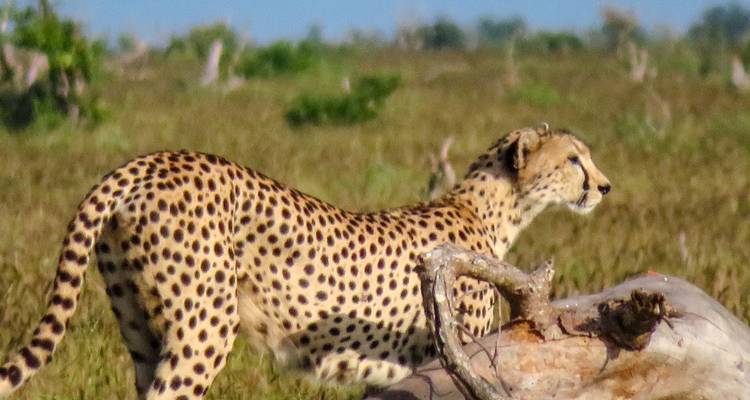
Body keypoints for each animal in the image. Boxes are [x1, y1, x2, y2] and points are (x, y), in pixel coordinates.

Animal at [0, 125, 610, 399]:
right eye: (573, 160)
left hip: (142, 331)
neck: (485, 208)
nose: (604, 186)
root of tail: (147, 161)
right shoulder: (460, 356)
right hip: (204, 329)